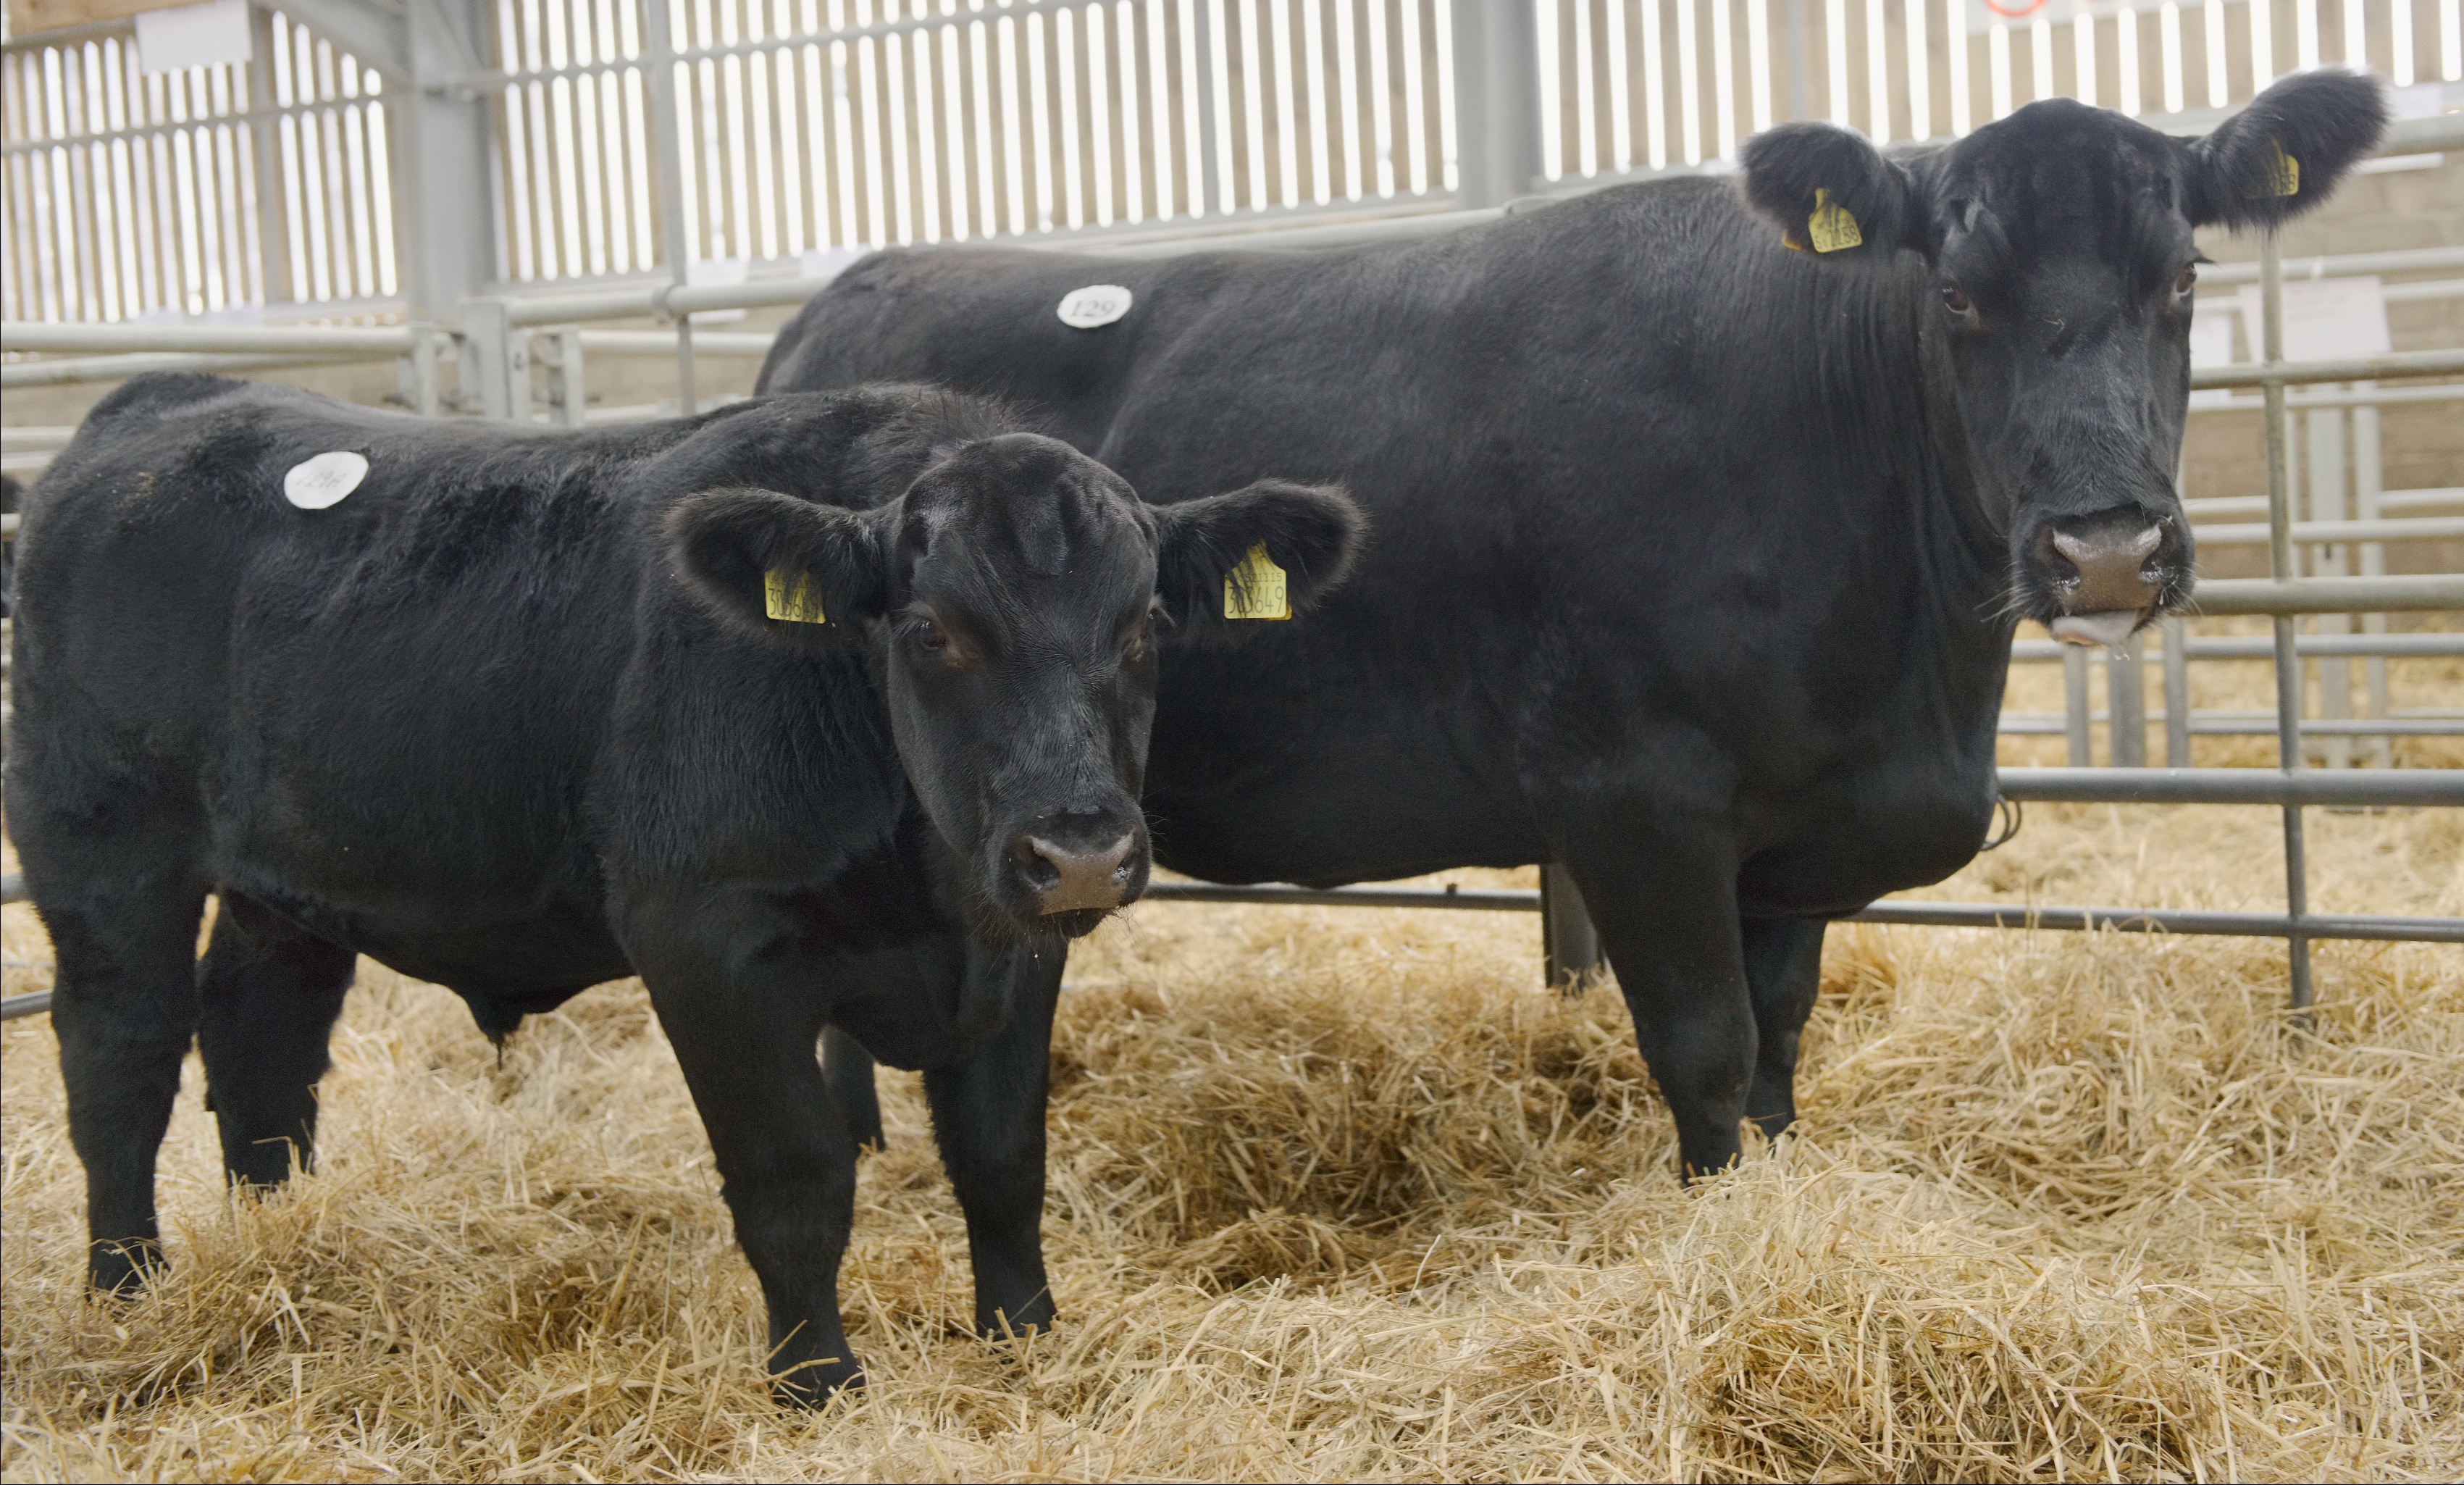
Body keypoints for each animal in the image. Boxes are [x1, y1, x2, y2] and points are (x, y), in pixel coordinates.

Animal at [0, 377, 1359, 1399]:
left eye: (1141, 628)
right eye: (931, 631)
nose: (1076, 847)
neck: (928, 889)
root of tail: (160, 404)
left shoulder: (1016, 947)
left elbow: (1001, 1153)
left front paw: (1025, 1337)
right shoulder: (709, 939)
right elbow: (795, 1174)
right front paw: (817, 1384)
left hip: (285, 880)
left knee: (259, 1054)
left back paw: (281, 1252)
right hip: (100, 852)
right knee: (120, 1061)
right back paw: (126, 1290)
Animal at [763, 72, 2385, 1187]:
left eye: (2181, 278)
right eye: (1958, 295)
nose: (2106, 545)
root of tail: (839, 297)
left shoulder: (1796, 825)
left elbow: (1780, 1040)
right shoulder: (1634, 799)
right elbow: (1709, 1047)